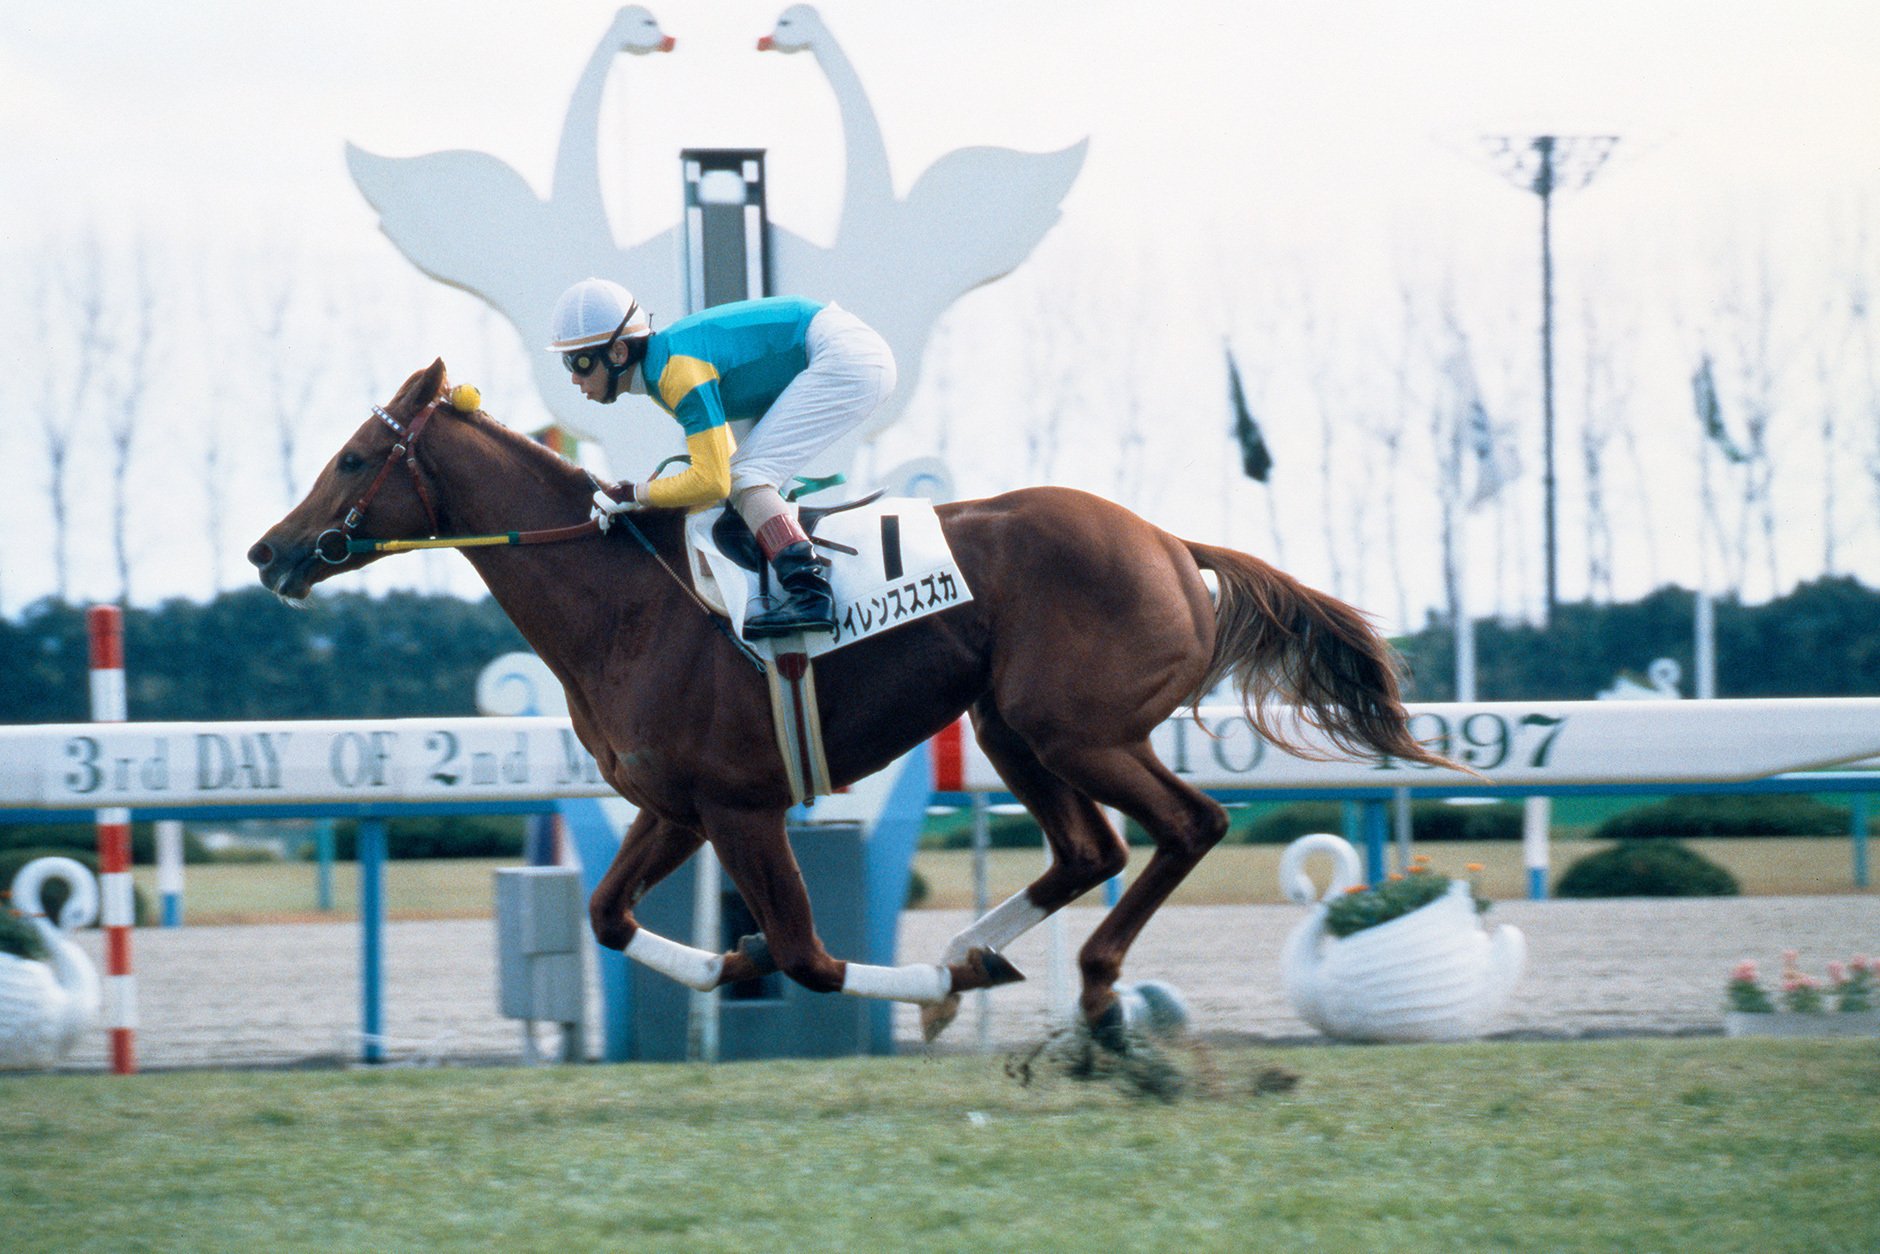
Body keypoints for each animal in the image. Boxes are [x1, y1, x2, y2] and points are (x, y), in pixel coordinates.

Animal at [248, 360, 1456, 1048]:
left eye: (351, 458)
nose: (270, 552)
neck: (627, 601)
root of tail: (1169, 540)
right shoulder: (677, 805)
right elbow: (606, 915)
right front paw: (739, 966)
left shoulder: (742, 808)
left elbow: (810, 956)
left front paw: (887, 984)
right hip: (1008, 726)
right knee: (1089, 851)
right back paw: (982, 953)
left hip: (1076, 726)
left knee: (1186, 826)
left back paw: (1092, 992)